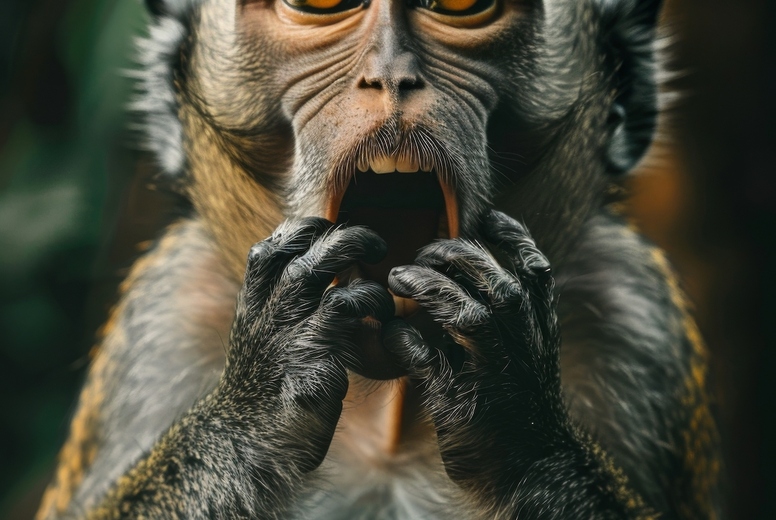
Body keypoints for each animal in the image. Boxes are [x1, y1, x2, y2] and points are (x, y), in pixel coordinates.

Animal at [34, 0, 724, 517]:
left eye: (461, 2)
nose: (390, 76)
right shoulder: (162, 322)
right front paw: (267, 385)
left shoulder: (636, 320)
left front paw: (509, 399)